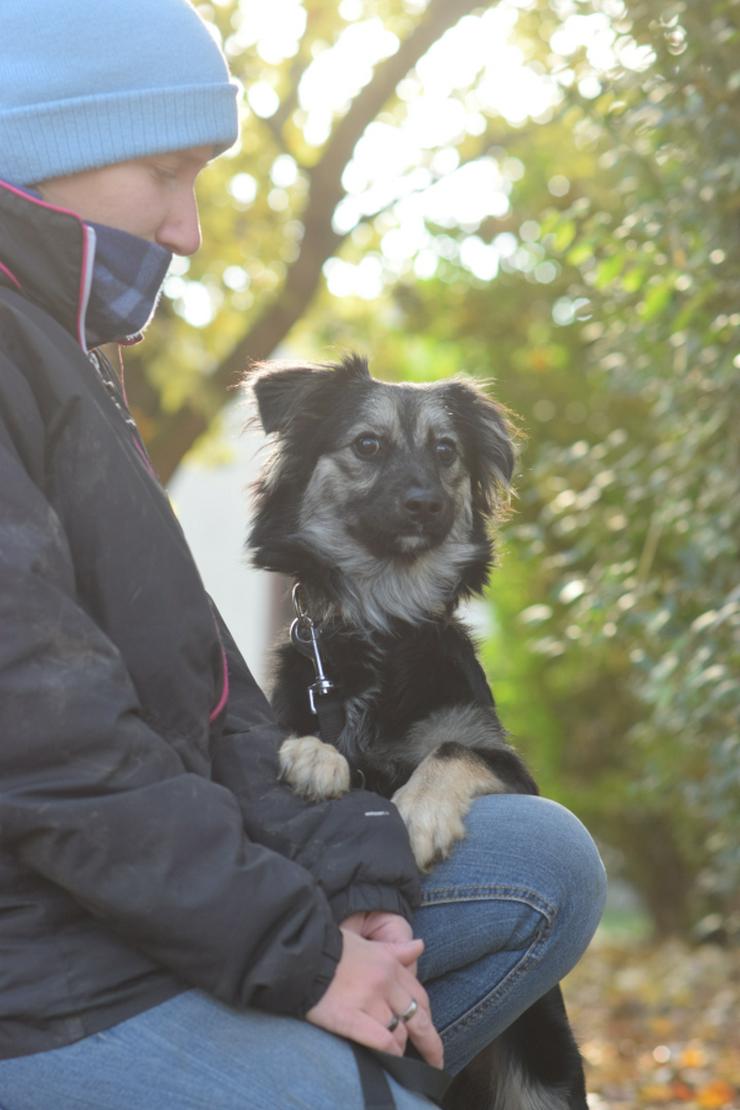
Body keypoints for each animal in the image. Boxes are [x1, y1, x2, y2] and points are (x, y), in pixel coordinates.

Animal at [248, 355, 590, 1110]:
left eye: (445, 453)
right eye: (368, 445)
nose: (425, 504)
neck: (383, 623)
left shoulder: (512, 766)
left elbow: (452, 747)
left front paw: (419, 814)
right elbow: (308, 740)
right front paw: (315, 756)